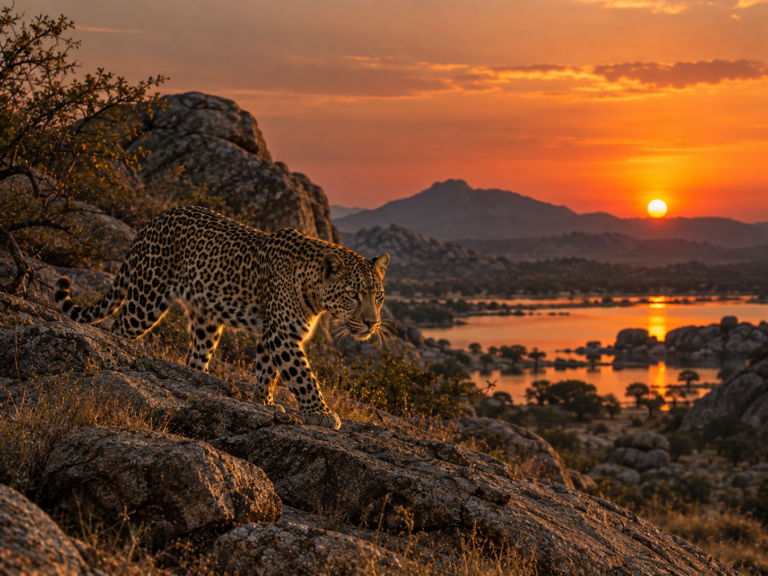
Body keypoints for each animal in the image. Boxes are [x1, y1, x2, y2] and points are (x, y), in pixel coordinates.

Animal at [54, 205, 390, 430]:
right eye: (352, 294)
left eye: (378, 296)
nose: (372, 323)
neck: (314, 290)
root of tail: (153, 220)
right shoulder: (282, 334)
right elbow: (302, 375)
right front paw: (320, 413)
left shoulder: (270, 333)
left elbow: (267, 372)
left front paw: (263, 402)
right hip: (146, 298)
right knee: (119, 326)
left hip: (206, 319)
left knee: (195, 357)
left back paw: (200, 381)